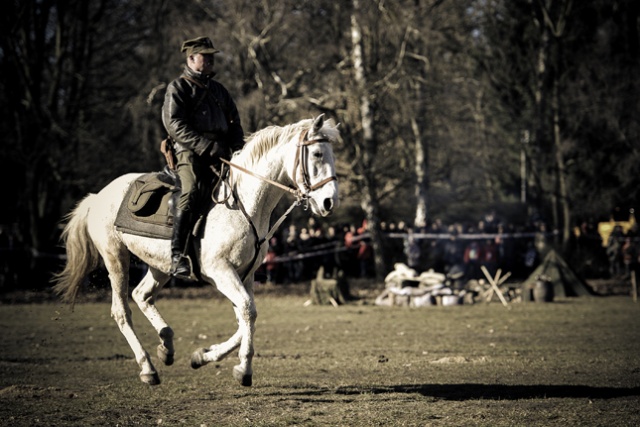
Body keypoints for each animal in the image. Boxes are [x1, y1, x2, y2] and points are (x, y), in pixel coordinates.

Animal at [53, 114, 340, 388]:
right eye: (317, 154)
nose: (329, 202)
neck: (243, 205)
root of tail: (98, 196)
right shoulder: (220, 272)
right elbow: (248, 311)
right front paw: (243, 369)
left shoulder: (245, 275)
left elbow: (245, 317)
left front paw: (204, 355)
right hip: (116, 258)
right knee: (121, 311)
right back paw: (147, 368)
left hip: (160, 266)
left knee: (142, 295)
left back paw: (166, 346)